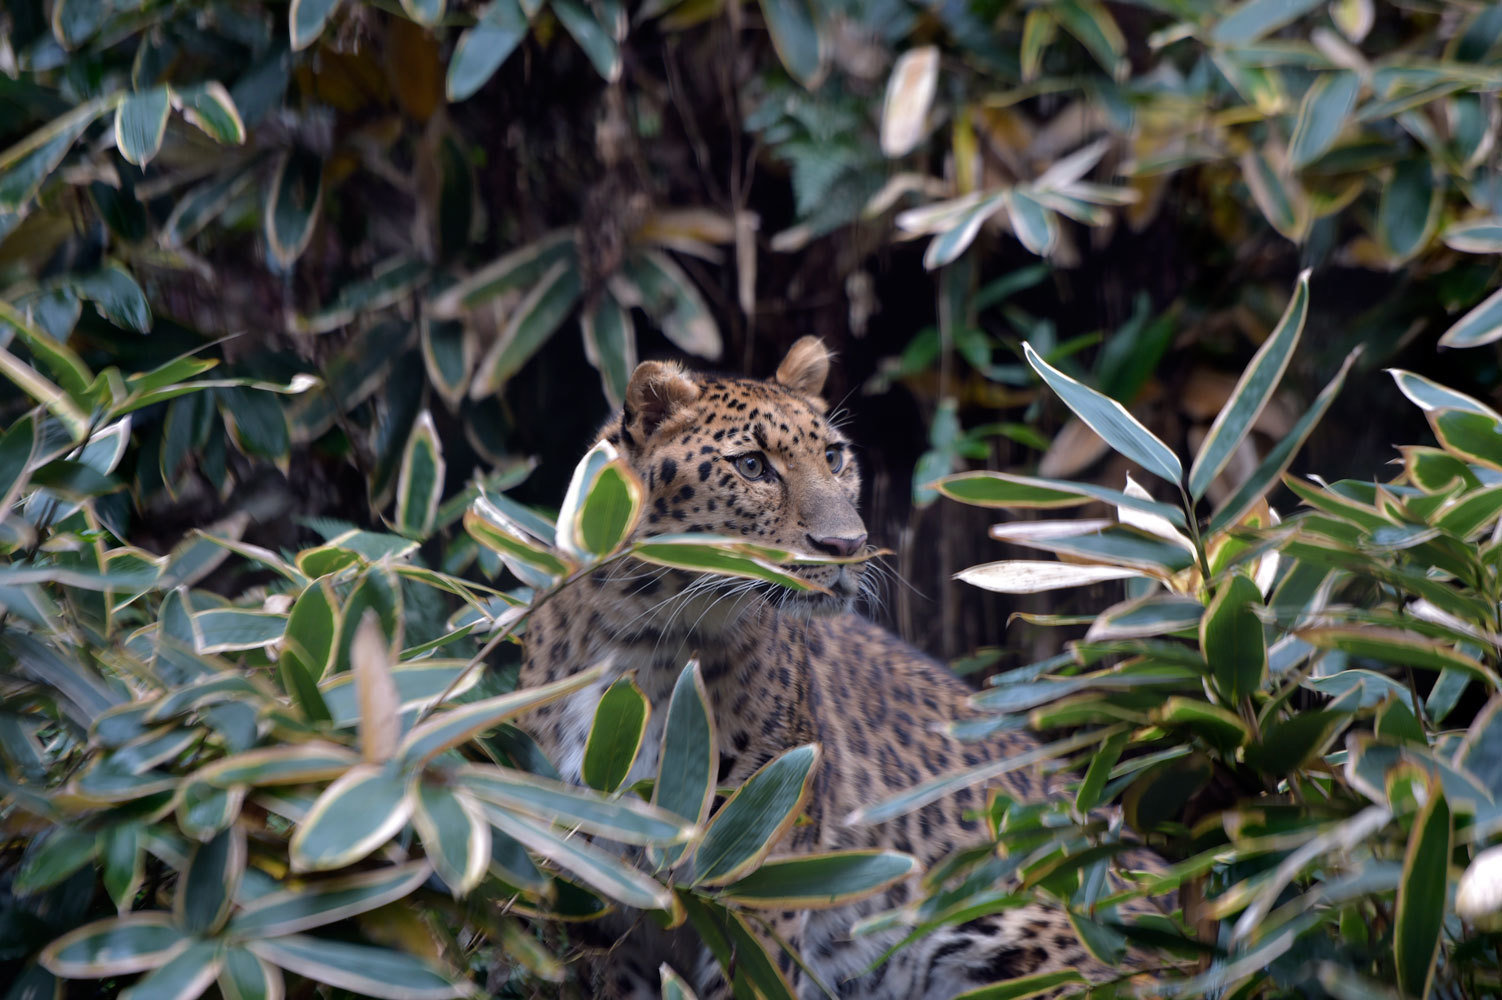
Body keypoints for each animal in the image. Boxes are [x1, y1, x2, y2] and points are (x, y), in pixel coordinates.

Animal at [516, 336, 1147, 996]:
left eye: (835, 457)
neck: (646, 641)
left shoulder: (758, 874)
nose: (847, 546)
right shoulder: (588, 890)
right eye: (752, 467)